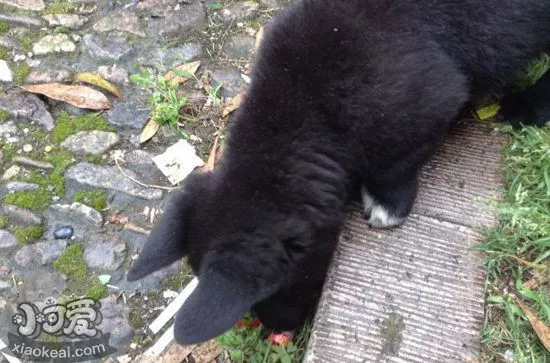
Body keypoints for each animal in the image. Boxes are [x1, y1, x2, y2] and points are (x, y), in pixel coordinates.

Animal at [126, 0, 550, 346]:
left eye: (270, 294)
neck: (305, 112)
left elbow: (395, 166)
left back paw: (527, 106)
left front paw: (385, 206)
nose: (279, 332)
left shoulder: (429, 106)